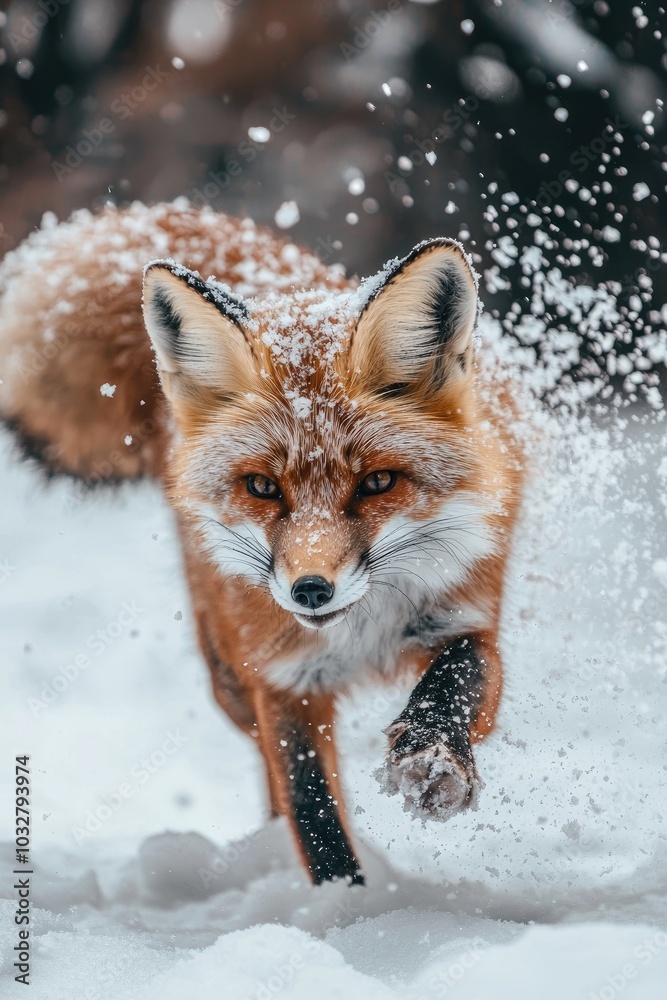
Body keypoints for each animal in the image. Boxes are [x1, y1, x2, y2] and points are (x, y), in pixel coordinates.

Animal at [0, 200, 522, 885]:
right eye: (263, 487)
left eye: (378, 482)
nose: (310, 589)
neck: (360, 633)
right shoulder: (281, 682)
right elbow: (312, 809)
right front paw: (345, 901)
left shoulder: (467, 620)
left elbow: (457, 686)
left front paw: (434, 762)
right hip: (228, 683)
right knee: (270, 782)